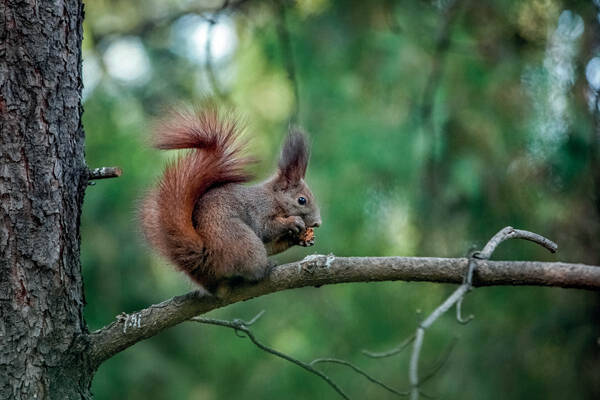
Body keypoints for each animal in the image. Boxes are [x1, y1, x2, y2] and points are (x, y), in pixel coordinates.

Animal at [141, 109, 322, 294]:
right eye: (301, 200)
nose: (317, 223)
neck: (274, 199)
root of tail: (206, 260)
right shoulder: (259, 209)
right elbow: (265, 228)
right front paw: (294, 222)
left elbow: (273, 245)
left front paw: (298, 239)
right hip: (243, 241)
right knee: (252, 267)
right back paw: (265, 269)